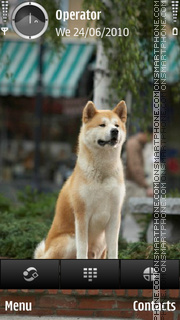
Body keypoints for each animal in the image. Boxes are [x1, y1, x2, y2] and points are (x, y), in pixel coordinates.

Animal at [34, 100, 127, 260]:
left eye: (116, 125)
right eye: (102, 125)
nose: (115, 131)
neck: (103, 172)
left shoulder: (115, 216)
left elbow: (114, 249)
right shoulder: (82, 215)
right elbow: (82, 248)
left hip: (101, 242)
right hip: (70, 239)